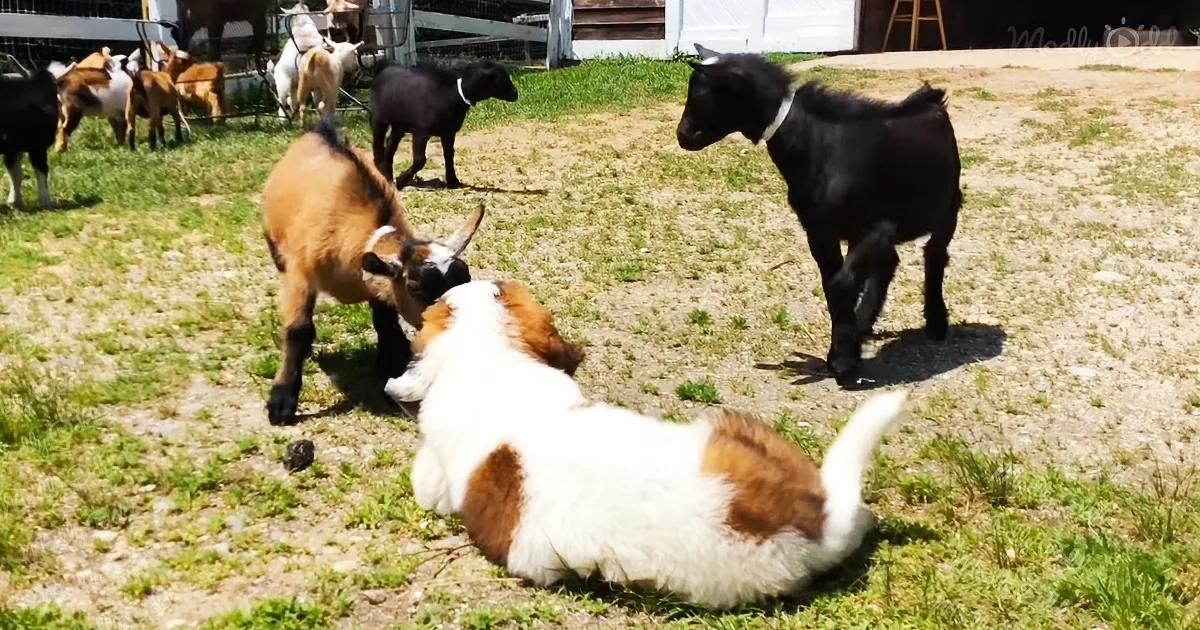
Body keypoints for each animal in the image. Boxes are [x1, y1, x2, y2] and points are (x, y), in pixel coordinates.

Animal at [1, 62, 72, 209]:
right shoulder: (37, 145)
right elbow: (41, 169)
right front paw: (46, 201)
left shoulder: (13, 147)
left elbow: (15, 172)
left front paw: (15, 202)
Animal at [260, 118, 485, 426]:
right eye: (416, 288)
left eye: (466, 278)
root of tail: (320, 128)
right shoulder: (300, 275)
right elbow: (299, 330)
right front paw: (282, 401)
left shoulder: (379, 282)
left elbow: (385, 321)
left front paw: (392, 364)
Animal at [369, 60, 518, 189]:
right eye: (504, 79)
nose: (515, 94)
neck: (454, 94)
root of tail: (385, 68)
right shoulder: (421, 132)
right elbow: (420, 160)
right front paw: (401, 181)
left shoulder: (449, 132)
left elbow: (449, 155)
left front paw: (452, 181)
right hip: (378, 118)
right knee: (378, 146)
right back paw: (383, 174)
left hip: (399, 125)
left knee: (389, 148)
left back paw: (388, 175)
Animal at [676, 45, 962, 385]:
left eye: (703, 96)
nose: (682, 135)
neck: (816, 146)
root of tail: (932, 100)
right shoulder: (820, 230)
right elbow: (832, 286)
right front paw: (843, 352)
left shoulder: (876, 227)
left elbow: (841, 284)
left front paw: (843, 360)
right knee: (887, 263)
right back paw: (864, 324)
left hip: (949, 205)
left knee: (934, 256)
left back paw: (936, 322)